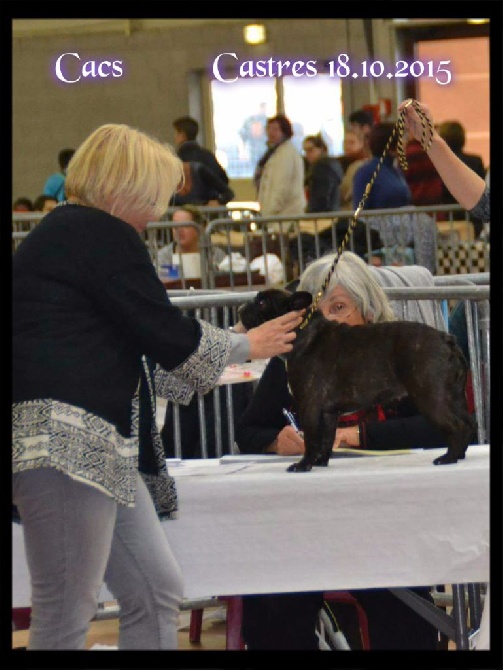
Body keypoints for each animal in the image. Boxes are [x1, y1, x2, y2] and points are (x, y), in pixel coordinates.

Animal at [240, 288, 476, 472]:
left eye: (261, 302)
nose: (242, 306)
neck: (301, 330)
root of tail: (445, 338)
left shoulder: (309, 406)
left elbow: (311, 437)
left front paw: (304, 464)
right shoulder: (327, 413)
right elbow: (326, 438)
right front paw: (320, 461)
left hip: (430, 397)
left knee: (456, 425)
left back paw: (448, 458)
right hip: (453, 395)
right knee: (467, 422)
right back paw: (459, 455)